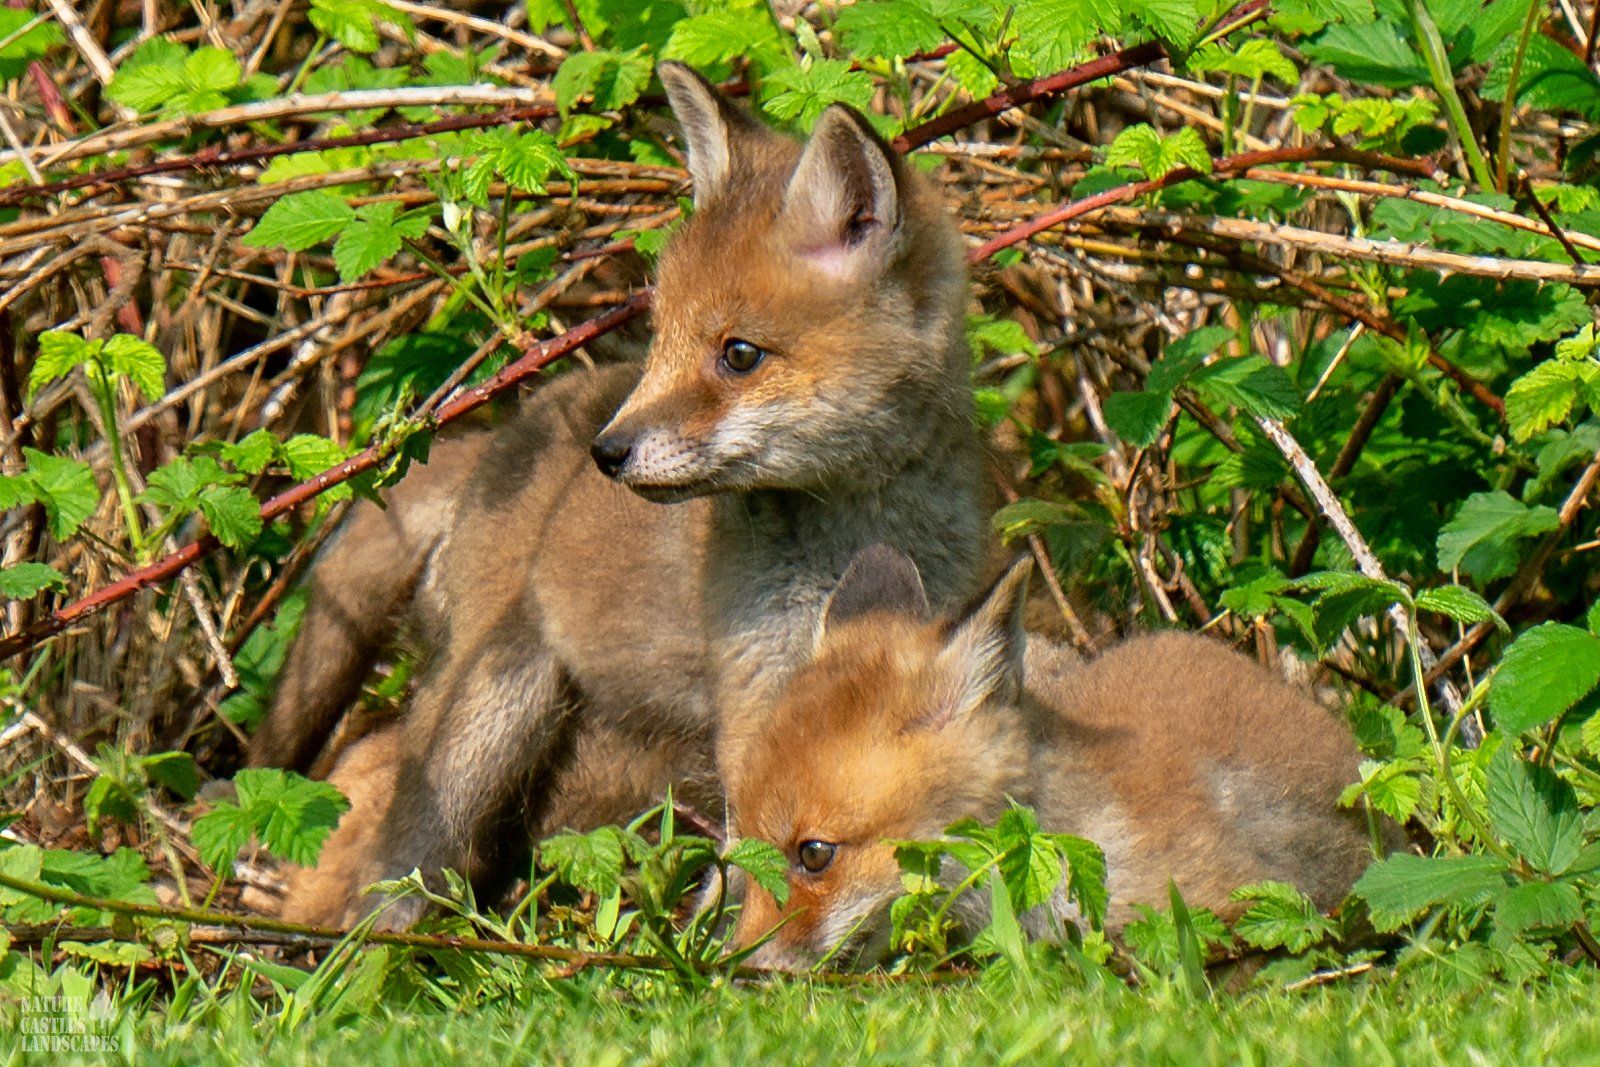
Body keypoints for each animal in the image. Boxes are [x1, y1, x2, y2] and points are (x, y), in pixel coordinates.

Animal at [247, 64, 987, 929]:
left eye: (739, 354)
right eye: (659, 336)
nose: (606, 452)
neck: (852, 539)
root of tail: (507, 432)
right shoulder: (756, 690)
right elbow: (763, 854)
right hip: (485, 718)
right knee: (394, 846)